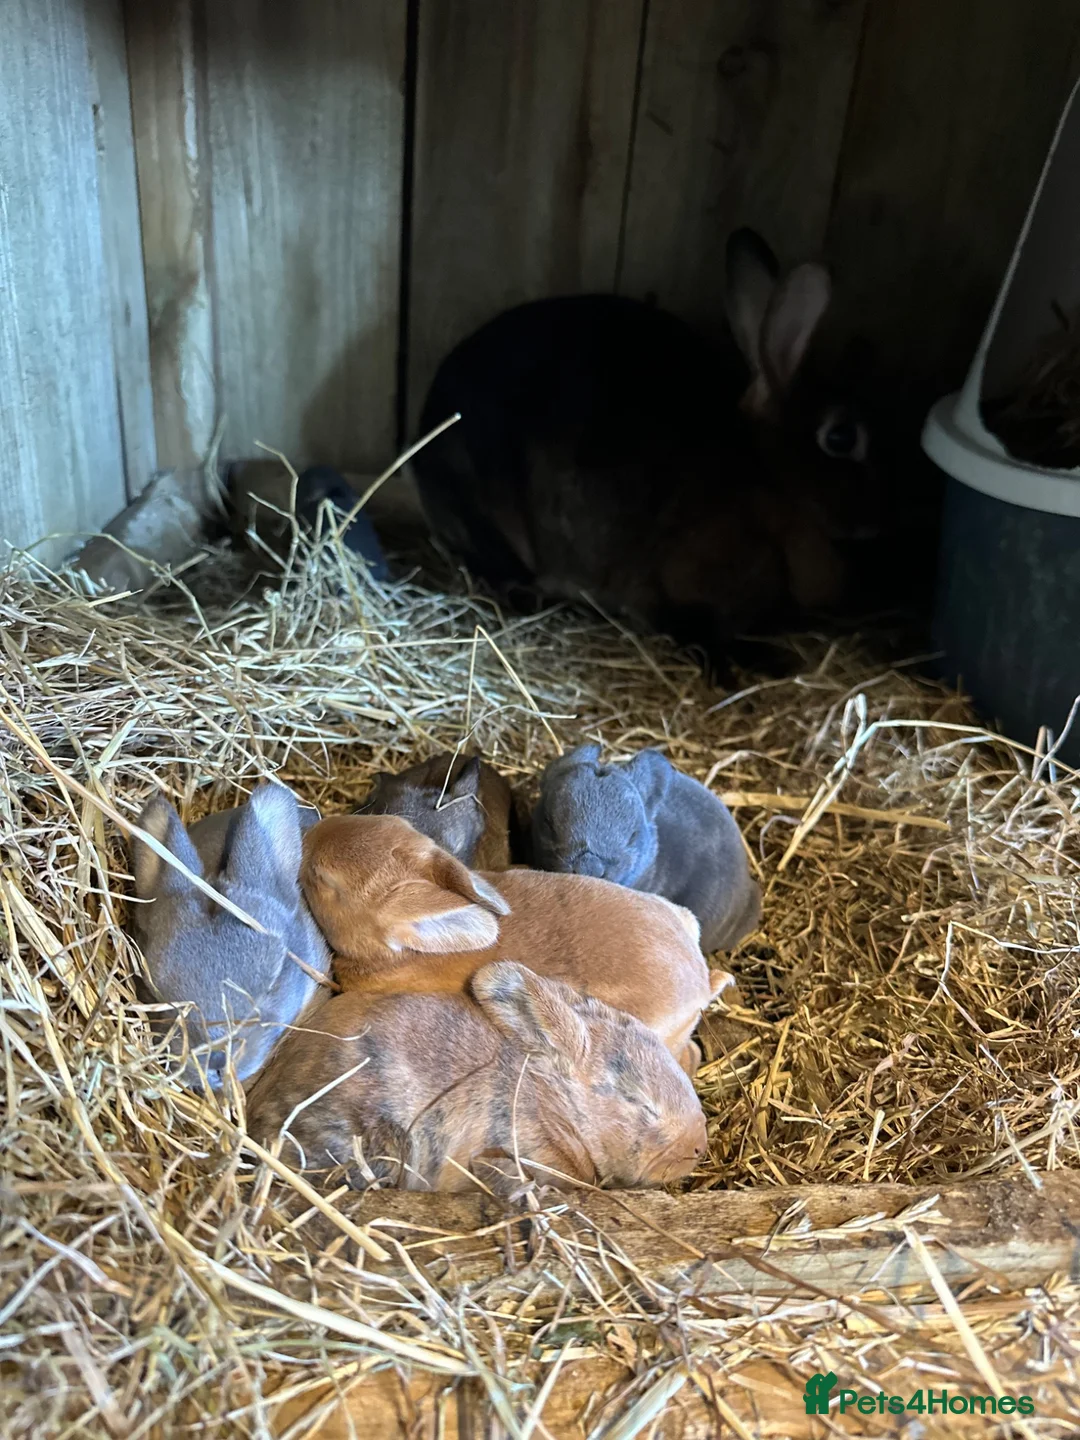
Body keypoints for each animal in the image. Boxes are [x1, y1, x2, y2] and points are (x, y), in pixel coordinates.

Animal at [411, 227, 881, 673]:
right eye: (841, 437)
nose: (876, 525)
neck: (769, 481)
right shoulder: (680, 581)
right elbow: (692, 627)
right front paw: (751, 662)